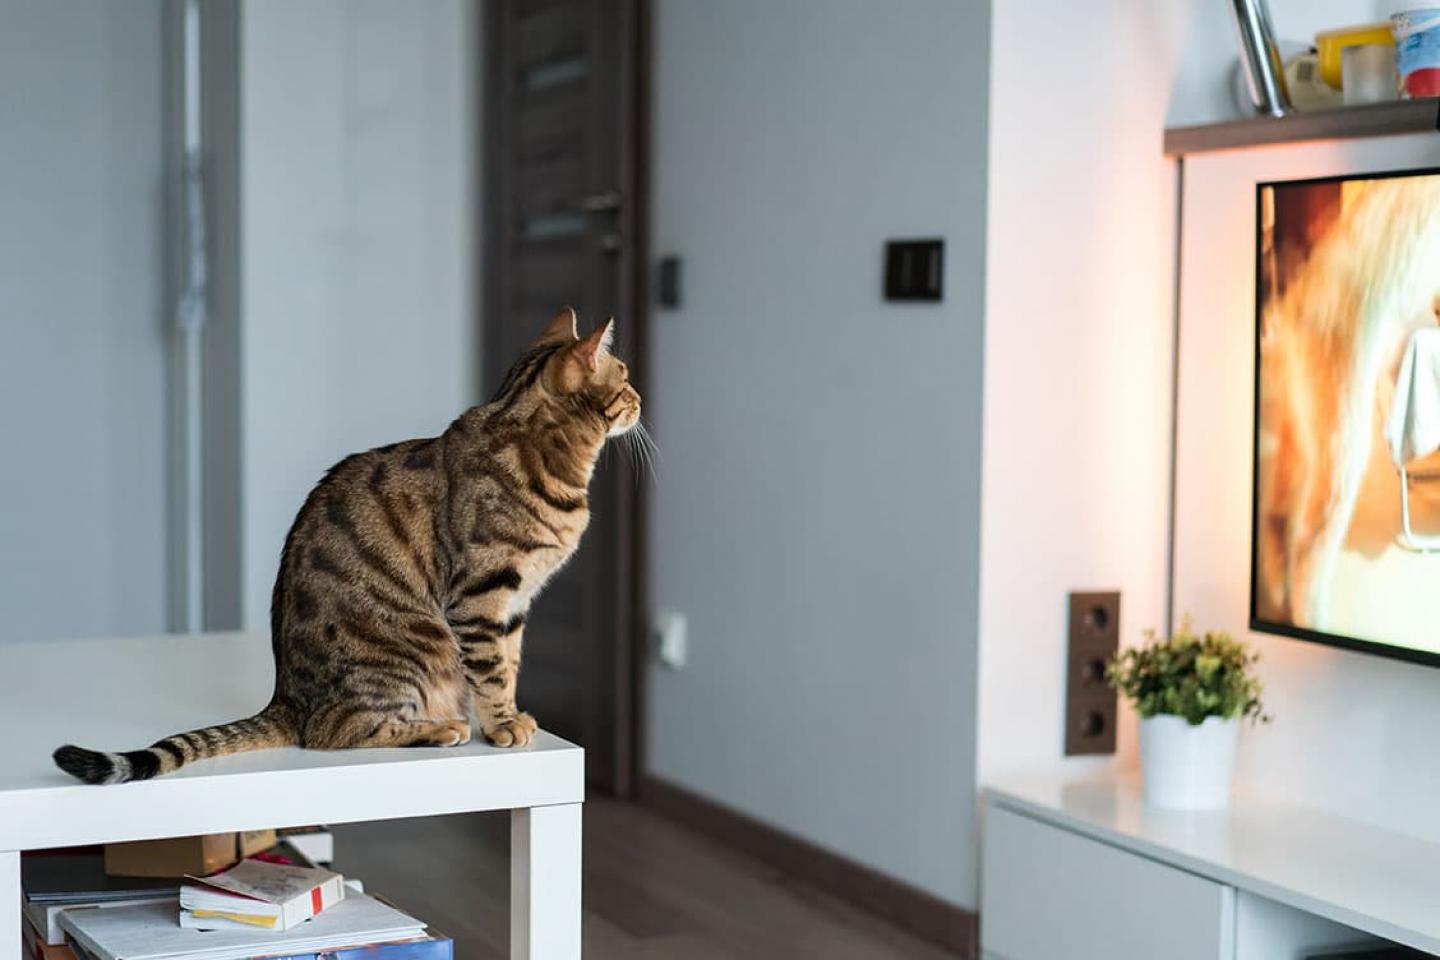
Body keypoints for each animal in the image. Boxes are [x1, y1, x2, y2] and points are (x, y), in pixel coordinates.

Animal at [54, 312, 642, 782]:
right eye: (626, 378)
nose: (641, 399)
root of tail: (286, 697)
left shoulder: (515, 602)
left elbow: (509, 663)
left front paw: (512, 715)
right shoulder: (482, 596)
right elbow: (493, 671)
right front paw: (501, 727)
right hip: (414, 645)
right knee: (330, 730)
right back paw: (438, 728)